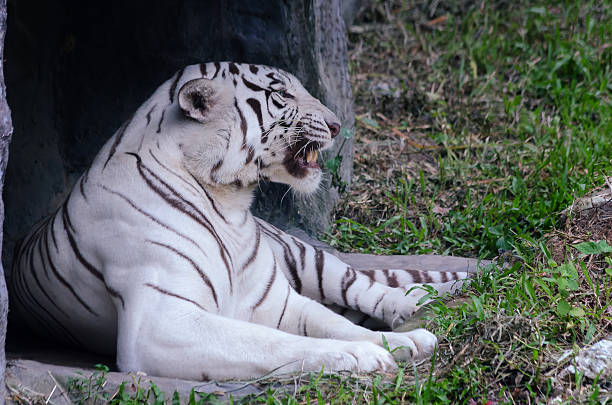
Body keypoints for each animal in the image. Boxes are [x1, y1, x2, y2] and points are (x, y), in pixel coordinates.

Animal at [10, 61, 468, 380]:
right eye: (281, 94)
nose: (338, 125)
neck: (228, 203)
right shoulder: (161, 320)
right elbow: (276, 342)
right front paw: (364, 356)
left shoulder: (274, 299)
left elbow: (333, 324)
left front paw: (403, 343)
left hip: (306, 257)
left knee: (365, 285)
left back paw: (416, 307)